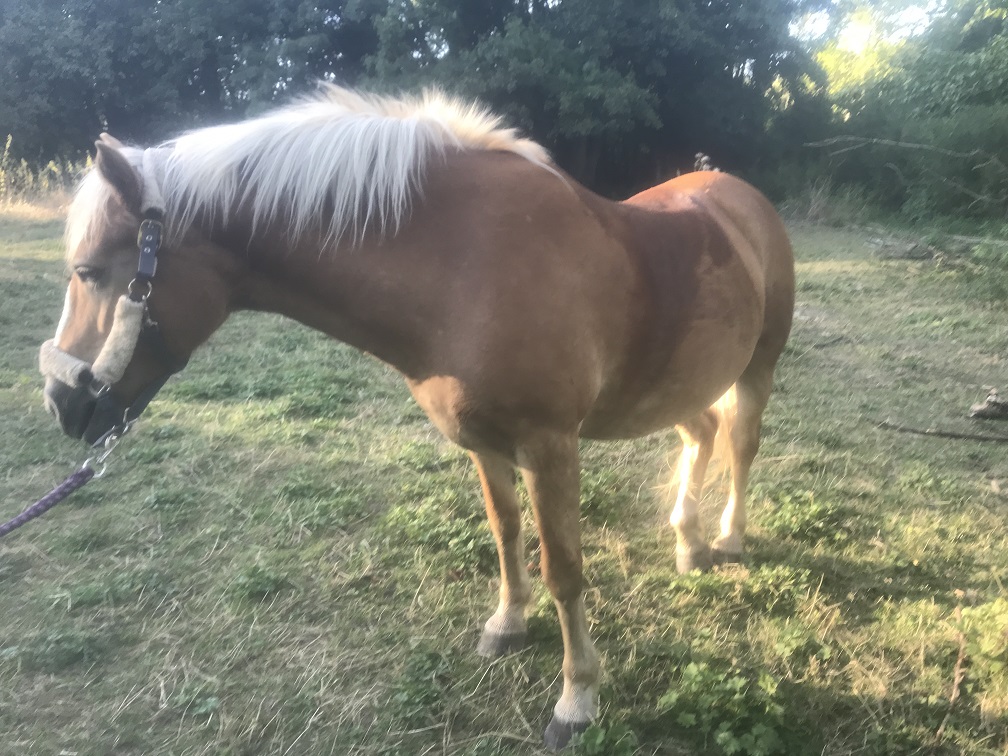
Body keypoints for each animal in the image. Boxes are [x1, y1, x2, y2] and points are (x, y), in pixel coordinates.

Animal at [41, 84, 794, 753]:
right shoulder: (485, 442)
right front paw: (507, 624)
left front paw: (577, 700)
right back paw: (687, 542)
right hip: (676, 384)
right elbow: (505, 534)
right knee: (702, 435)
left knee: (741, 442)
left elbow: (564, 569)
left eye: (89, 270)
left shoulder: (550, 445)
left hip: (755, 368)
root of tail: (738, 194)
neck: (464, 264)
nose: (61, 402)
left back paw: (726, 539)